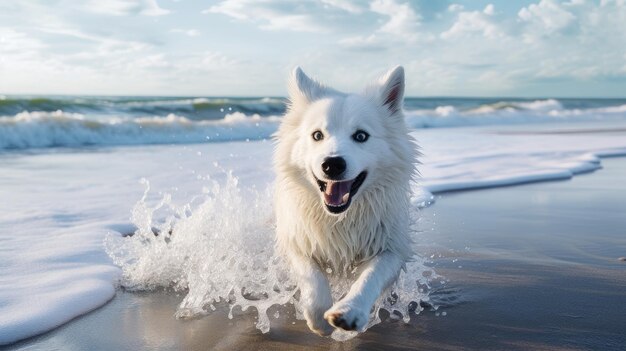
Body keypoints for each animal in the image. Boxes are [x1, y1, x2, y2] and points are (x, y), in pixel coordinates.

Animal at [274, 66, 416, 338]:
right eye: (317, 135)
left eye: (361, 136)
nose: (332, 164)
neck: (340, 217)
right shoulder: (296, 242)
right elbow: (312, 275)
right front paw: (319, 317)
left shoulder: (392, 248)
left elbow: (369, 278)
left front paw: (349, 312)